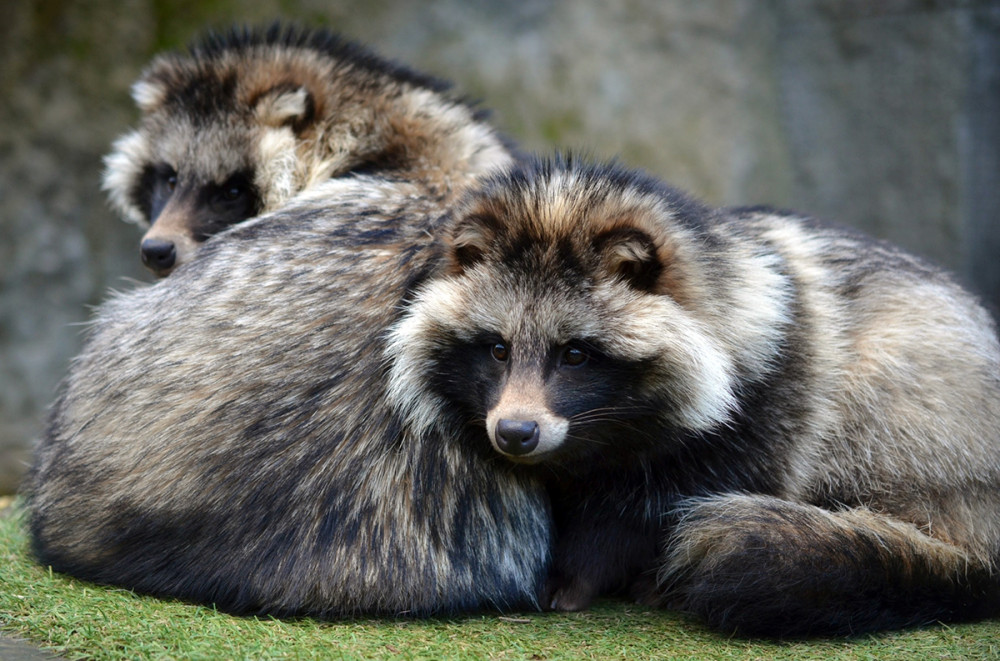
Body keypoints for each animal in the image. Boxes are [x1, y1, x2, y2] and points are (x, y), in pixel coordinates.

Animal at [386, 156, 1000, 636]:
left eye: (575, 354)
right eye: (497, 349)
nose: (515, 433)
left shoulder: (772, 396)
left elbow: (657, 501)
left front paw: (584, 567)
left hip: (921, 405)